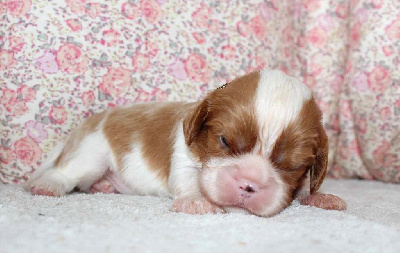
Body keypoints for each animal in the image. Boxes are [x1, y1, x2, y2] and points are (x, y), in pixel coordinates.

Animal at [24, 69, 346, 217]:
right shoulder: (183, 153)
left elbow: (305, 188)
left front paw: (319, 196)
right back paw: (47, 185)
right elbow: (188, 179)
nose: (248, 185)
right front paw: (196, 200)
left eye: (292, 165)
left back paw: (104, 186)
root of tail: (90, 122)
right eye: (224, 141)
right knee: (66, 172)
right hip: (91, 154)